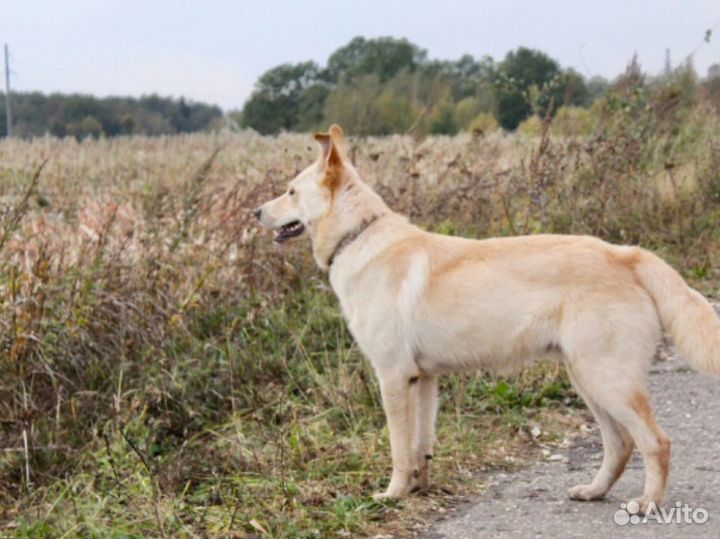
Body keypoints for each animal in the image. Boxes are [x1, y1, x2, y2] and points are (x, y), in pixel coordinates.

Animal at [255, 124, 720, 512]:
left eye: (291, 192)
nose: (256, 213)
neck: (358, 235)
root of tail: (626, 255)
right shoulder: (423, 380)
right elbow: (420, 445)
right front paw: (419, 488)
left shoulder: (393, 377)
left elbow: (399, 448)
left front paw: (393, 493)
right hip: (589, 379)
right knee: (620, 444)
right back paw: (593, 491)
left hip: (607, 378)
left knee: (656, 442)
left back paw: (647, 503)